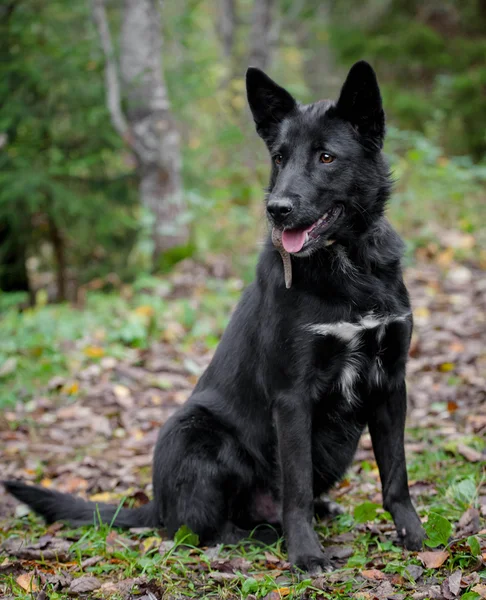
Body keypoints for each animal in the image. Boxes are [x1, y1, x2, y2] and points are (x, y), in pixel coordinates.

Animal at [3, 61, 424, 572]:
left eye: (326, 157)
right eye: (279, 158)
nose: (276, 210)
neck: (347, 266)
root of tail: (157, 504)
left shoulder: (391, 383)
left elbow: (396, 475)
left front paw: (413, 534)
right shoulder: (292, 398)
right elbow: (296, 489)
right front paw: (306, 554)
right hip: (192, 432)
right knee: (196, 529)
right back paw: (261, 535)